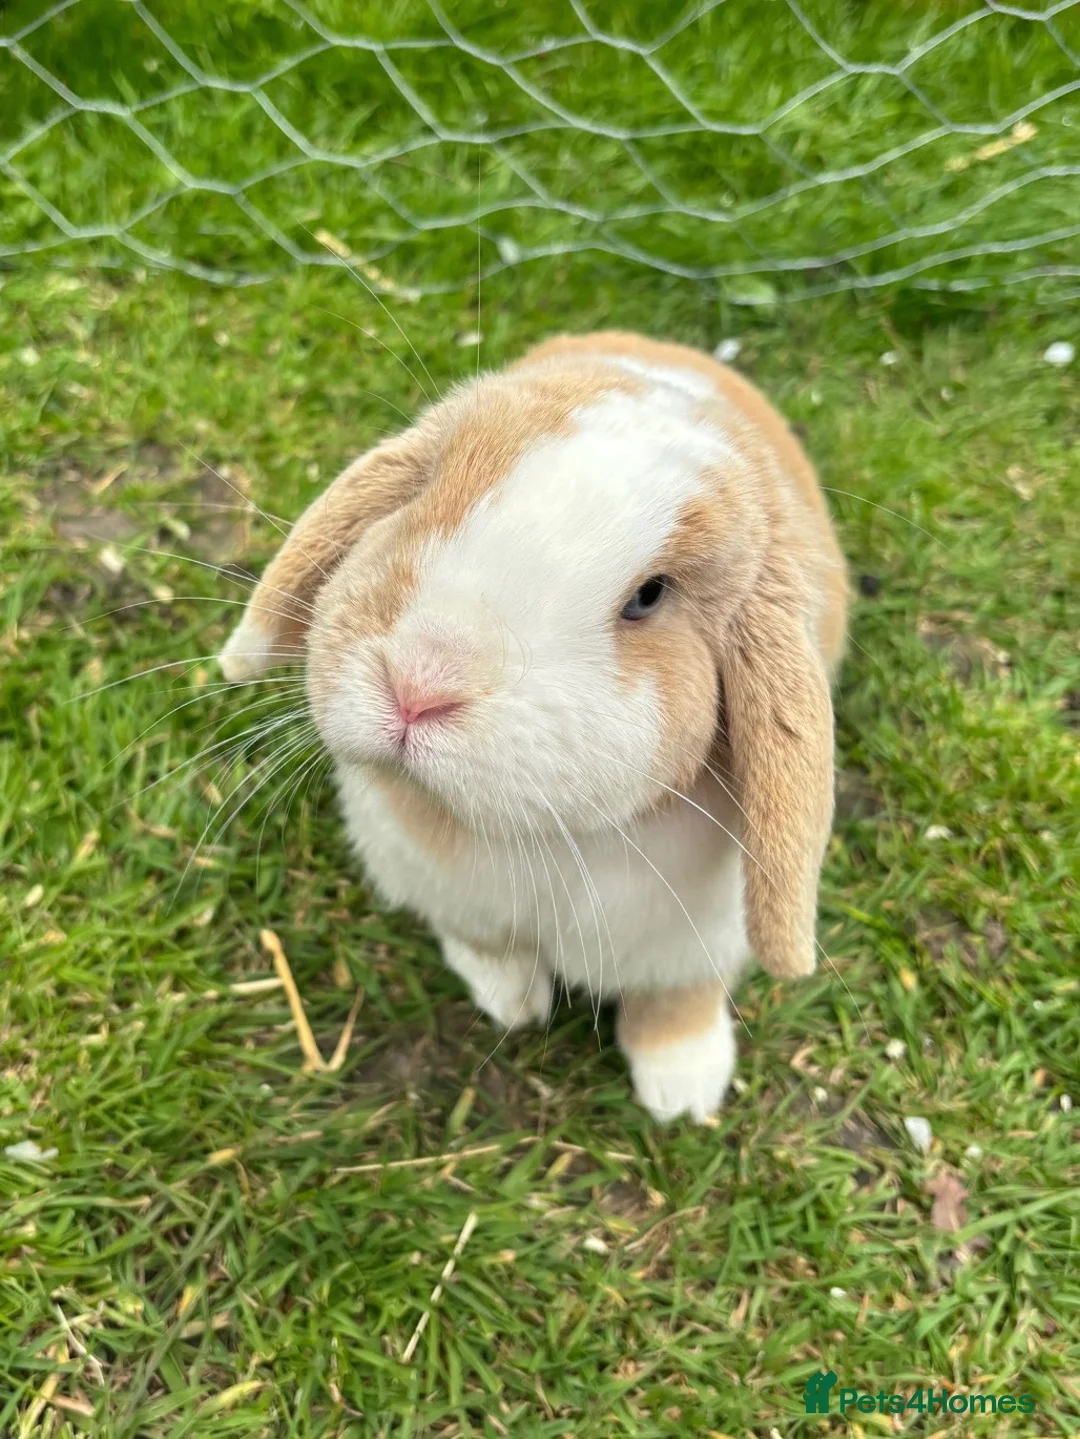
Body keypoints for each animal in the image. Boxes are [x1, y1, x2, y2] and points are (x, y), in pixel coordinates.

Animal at [219, 331, 848, 1122]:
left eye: (649, 596)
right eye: (429, 495)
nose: (419, 682)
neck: (545, 840)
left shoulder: (693, 941)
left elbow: (679, 1003)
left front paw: (682, 1091)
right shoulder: (449, 893)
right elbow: (482, 945)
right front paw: (510, 1003)